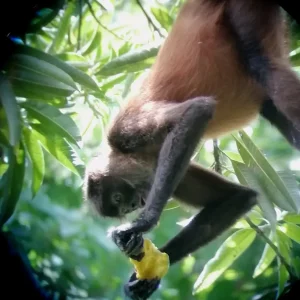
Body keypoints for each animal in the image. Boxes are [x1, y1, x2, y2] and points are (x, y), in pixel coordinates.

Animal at [84, 0, 300, 298]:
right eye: (122, 206)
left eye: (118, 199)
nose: (135, 205)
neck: (136, 154)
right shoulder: (163, 173)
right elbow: (237, 198)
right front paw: (144, 278)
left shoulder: (127, 130)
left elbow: (197, 111)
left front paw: (144, 222)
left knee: (262, 63)